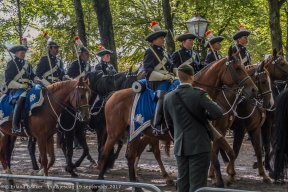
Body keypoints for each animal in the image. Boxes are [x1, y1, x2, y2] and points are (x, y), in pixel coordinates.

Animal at [93, 47, 258, 190]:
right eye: (237, 68)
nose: (253, 90)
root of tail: (113, 95)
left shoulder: (212, 133)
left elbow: (228, 153)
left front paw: (227, 177)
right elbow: (215, 160)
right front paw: (219, 182)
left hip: (136, 132)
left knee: (130, 155)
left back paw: (137, 185)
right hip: (115, 132)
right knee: (106, 152)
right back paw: (98, 182)